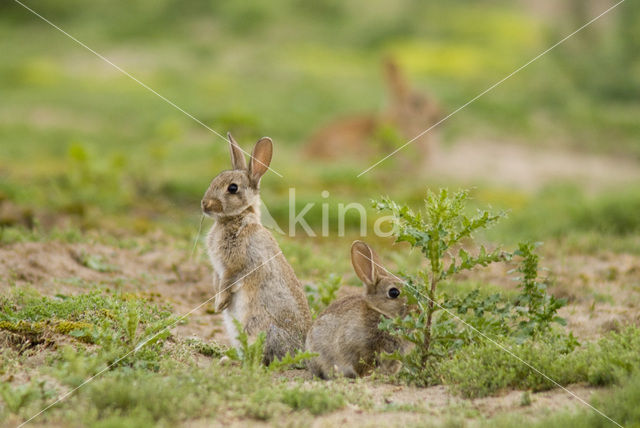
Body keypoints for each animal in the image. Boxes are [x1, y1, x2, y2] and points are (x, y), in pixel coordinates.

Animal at [200, 132, 310, 362]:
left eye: (233, 188)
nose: (204, 204)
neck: (236, 218)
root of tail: (300, 352)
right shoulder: (218, 269)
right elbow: (217, 280)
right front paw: (217, 303)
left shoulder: (237, 264)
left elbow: (228, 282)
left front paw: (220, 304)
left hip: (259, 326)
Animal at [306, 241, 408, 378]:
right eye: (394, 292)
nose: (418, 309)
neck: (380, 312)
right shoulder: (360, 348)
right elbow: (362, 366)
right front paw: (368, 376)